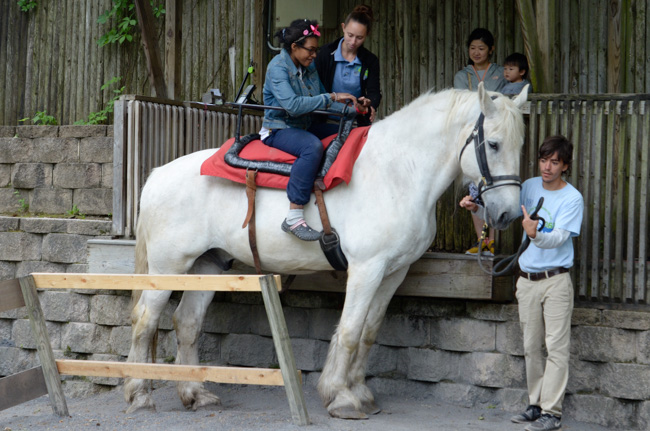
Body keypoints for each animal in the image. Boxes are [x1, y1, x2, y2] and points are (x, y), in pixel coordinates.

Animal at [125, 83, 528, 418]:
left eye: (520, 144)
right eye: (493, 144)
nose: (507, 213)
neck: (398, 172)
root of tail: (157, 175)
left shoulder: (393, 272)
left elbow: (368, 331)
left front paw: (360, 392)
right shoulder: (366, 268)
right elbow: (350, 330)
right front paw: (341, 397)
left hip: (208, 267)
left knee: (187, 322)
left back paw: (195, 394)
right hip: (167, 267)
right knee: (146, 319)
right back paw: (139, 393)